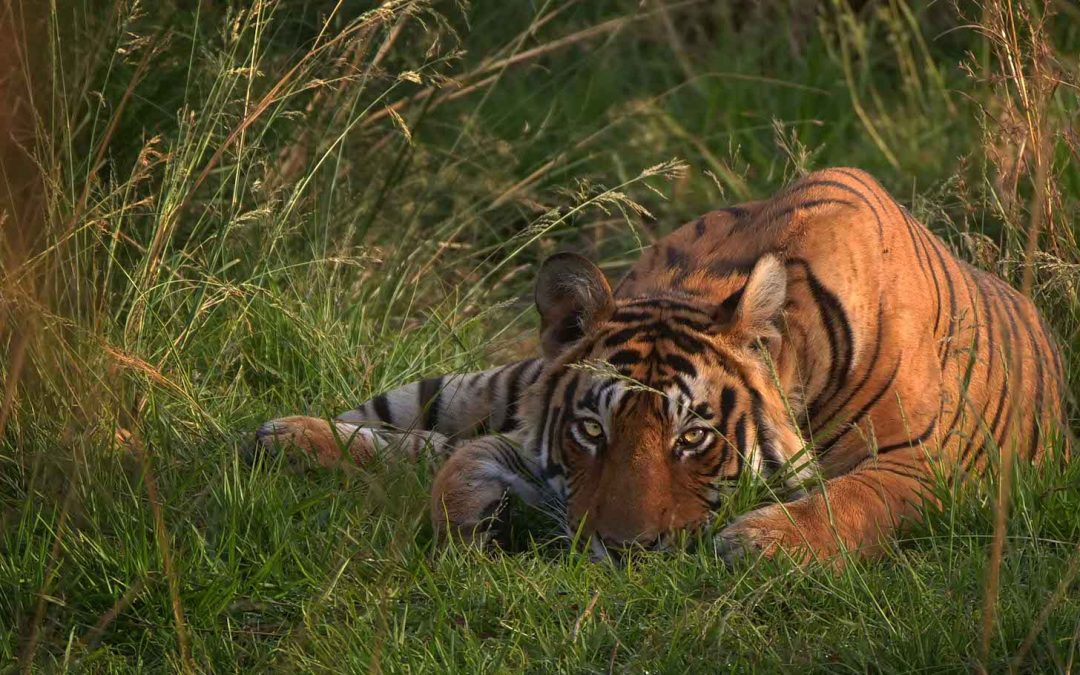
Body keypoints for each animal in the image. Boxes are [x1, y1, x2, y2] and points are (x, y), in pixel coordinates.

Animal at [255, 167, 1069, 563]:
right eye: (592, 431)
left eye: (694, 437)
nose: (624, 551)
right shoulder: (539, 436)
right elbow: (458, 462)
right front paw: (472, 514)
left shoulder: (926, 462)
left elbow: (856, 500)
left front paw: (761, 542)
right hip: (501, 382)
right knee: (417, 420)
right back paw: (279, 438)